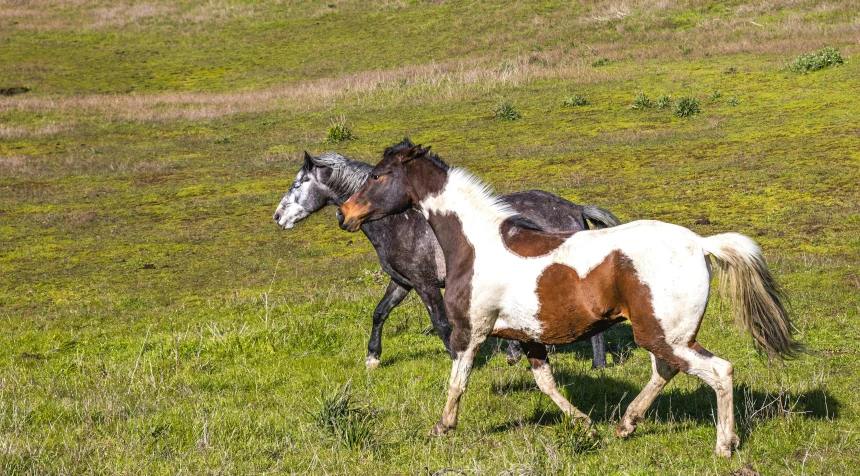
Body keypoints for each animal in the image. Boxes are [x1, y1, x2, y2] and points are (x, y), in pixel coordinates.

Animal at [274, 148, 620, 368]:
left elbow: (441, 324)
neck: (400, 221)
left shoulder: (426, 285)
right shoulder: (402, 282)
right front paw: (373, 357)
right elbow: (379, 313)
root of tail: (575, 208)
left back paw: (598, 365)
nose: (278, 217)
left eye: (299, 183)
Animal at [336, 141, 800, 458]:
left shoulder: (471, 330)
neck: (476, 244)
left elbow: (458, 379)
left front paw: (442, 428)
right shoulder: (527, 337)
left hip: (663, 335)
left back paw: (724, 445)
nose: (345, 214)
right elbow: (546, 383)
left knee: (719, 371)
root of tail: (700, 244)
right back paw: (626, 425)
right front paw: (587, 426)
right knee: (667, 370)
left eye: (377, 176)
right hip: (665, 335)